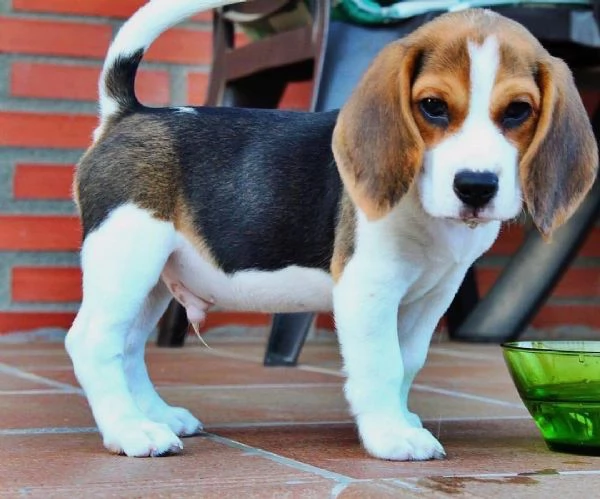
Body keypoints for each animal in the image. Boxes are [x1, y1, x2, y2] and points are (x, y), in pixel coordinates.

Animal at [67, 0, 596, 460]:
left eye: (518, 111)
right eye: (432, 106)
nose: (476, 186)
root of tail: (128, 113)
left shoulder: (433, 295)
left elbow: (408, 362)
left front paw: (400, 419)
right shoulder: (368, 289)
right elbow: (382, 364)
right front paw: (391, 436)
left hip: (154, 277)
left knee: (128, 347)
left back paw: (155, 415)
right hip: (127, 255)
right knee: (93, 343)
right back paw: (130, 430)